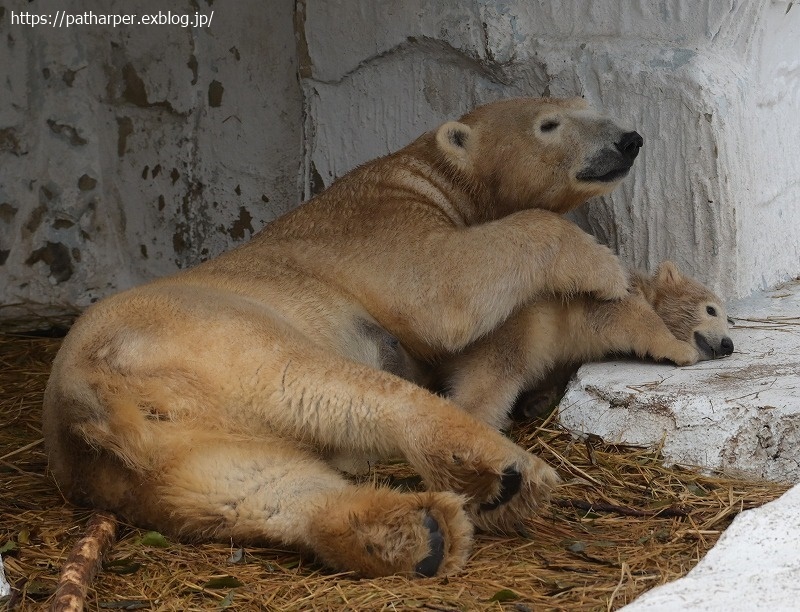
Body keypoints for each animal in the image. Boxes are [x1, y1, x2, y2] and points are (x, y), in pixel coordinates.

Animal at [42, 97, 644, 580]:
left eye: (587, 102)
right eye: (550, 123)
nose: (629, 138)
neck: (427, 172)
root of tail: (96, 395)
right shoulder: (380, 224)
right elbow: (445, 287)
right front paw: (607, 271)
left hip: (144, 461)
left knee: (253, 485)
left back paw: (419, 532)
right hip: (212, 333)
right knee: (320, 383)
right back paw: (501, 473)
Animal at [440, 262, 736, 430]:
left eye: (729, 319)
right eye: (711, 310)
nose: (727, 344)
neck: (645, 287)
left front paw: (538, 401)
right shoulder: (603, 297)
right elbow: (630, 315)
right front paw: (679, 349)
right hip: (510, 333)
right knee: (493, 376)